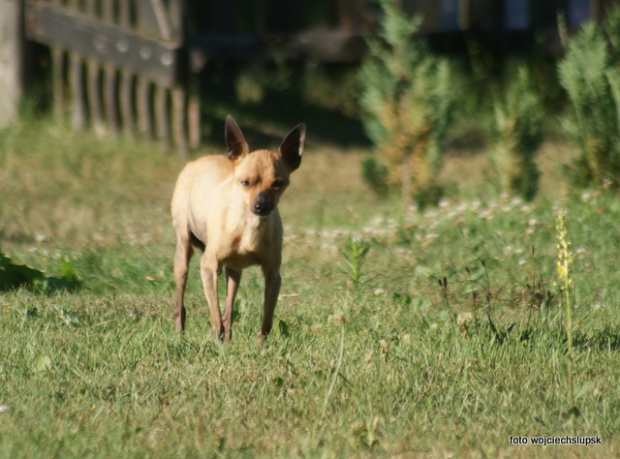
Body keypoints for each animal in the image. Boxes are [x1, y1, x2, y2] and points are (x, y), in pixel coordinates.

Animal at [171, 116, 306, 342]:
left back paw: (227, 340)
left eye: (278, 183)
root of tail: (197, 160)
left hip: (234, 272)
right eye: (245, 182)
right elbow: (215, 315)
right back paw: (181, 334)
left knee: (228, 310)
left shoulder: (273, 276)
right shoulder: (208, 267)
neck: (250, 227)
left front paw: (261, 345)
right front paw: (214, 340)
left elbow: (266, 320)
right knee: (183, 302)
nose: (261, 206)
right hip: (184, 252)